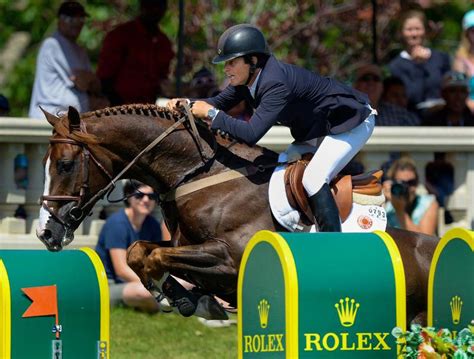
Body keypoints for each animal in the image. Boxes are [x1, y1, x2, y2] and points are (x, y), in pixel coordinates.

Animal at [36, 103, 436, 324]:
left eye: (66, 164)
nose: (46, 233)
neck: (199, 174)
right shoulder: (184, 244)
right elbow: (140, 251)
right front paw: (188, 300)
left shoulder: (230, 258)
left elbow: (157, 257)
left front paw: (186, 300)